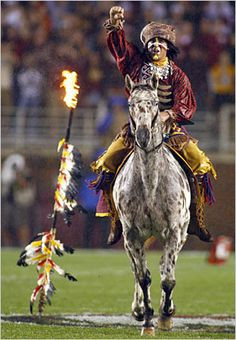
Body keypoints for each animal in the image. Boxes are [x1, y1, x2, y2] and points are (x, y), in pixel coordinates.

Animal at [112, 74, 192, 334]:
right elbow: (142, 276)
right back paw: (138, 309)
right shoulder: (132, 234)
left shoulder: (174, 231)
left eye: (155, 103)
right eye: (130, 103)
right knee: (137, 269)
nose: (143, 135)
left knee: (164, 266)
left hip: (181, 233)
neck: (150, 184)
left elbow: (167, 278)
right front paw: (147, 320)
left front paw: (166, 315)